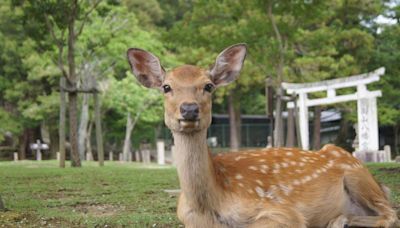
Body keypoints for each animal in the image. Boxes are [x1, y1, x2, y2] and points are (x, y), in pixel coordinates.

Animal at [126, 43, 398, 227]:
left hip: (356, 174)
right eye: (166, 87)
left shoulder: (282, 210)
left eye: (208, 86)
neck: (208, 207)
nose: (189, 109)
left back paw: (340, 220)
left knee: (390, 213)